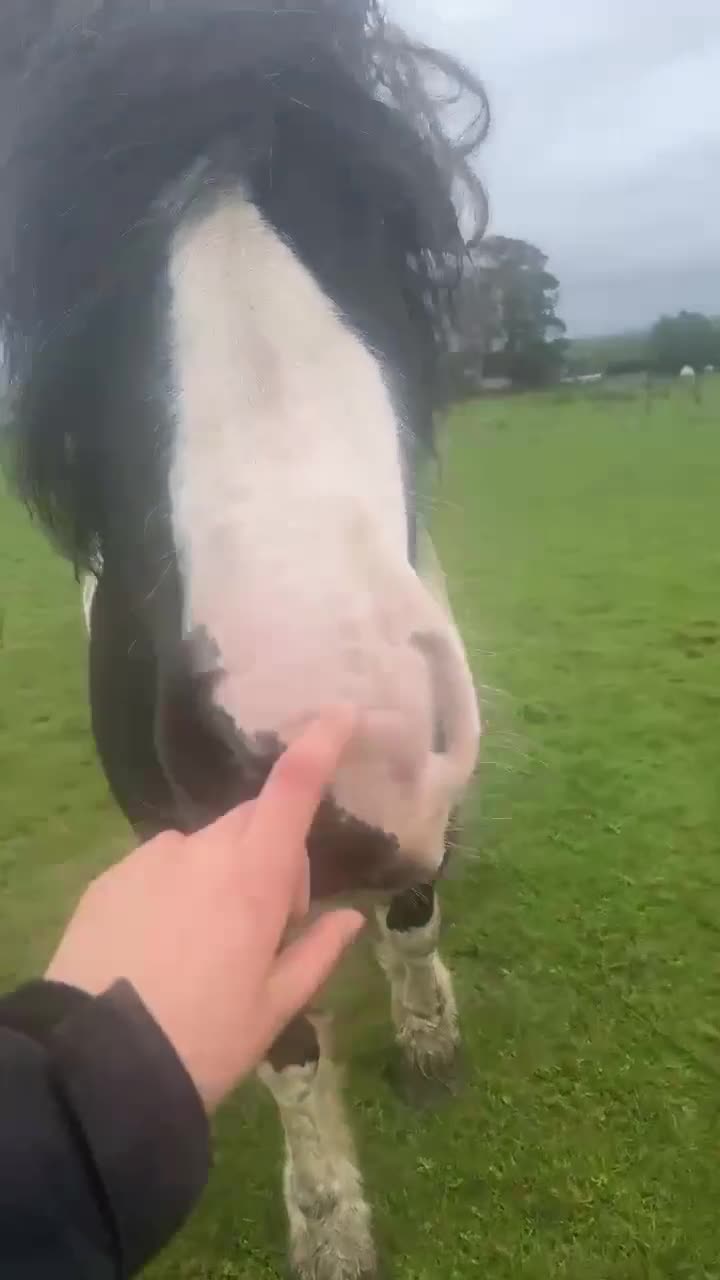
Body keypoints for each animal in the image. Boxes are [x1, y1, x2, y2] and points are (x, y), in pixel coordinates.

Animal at [0, 3, 489, 1276]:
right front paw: (327, 1224)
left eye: (375, 205)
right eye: (67, 252)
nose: (347, 746)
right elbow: (286, 1048)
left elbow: (415, 915)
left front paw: (429, 1039)